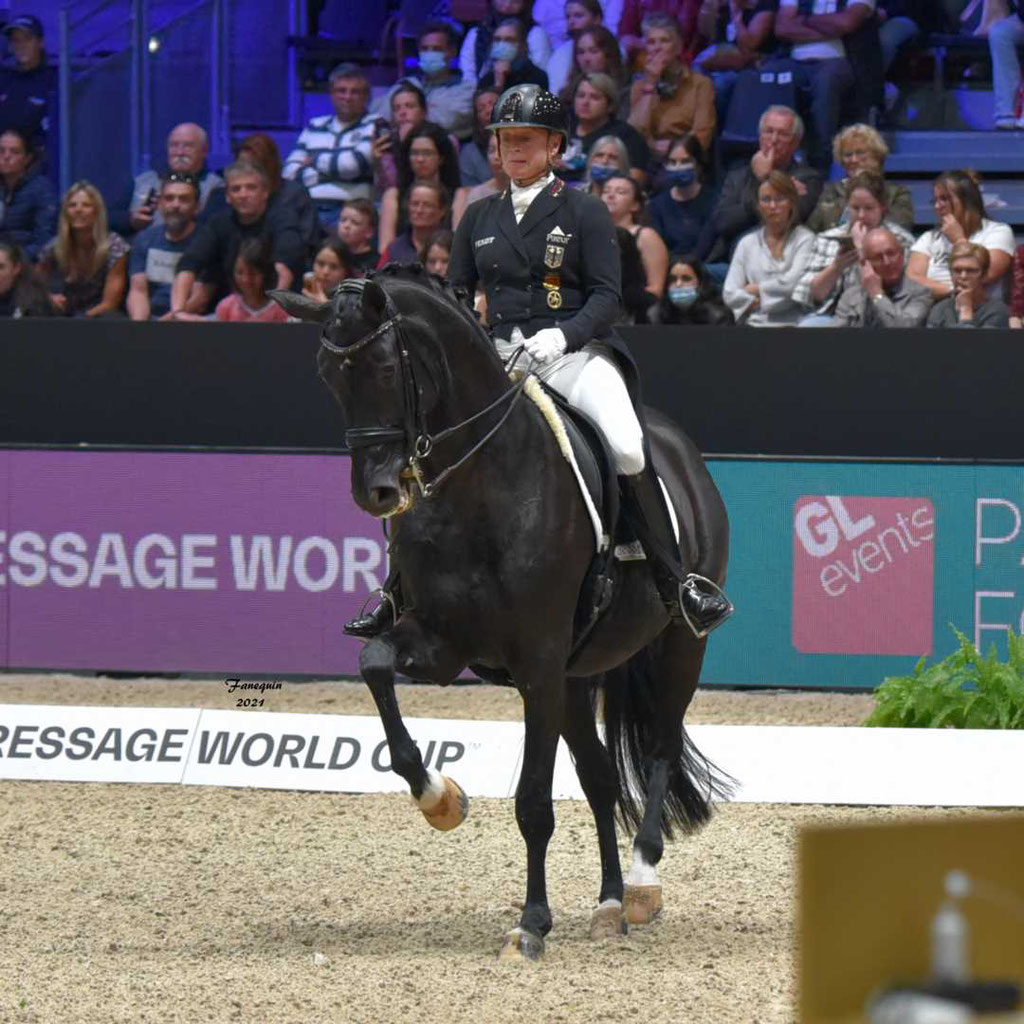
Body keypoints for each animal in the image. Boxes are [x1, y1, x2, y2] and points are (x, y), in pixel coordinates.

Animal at [274, 270, 737, 958]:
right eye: (327, 376)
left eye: (384, 367)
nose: (375, 493)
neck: (480, 489)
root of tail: (677, 448)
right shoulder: (443, 645)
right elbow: (375, 662)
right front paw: (441, 800)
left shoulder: (537, 663)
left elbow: (534, 802)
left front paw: (532, 923)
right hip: (577, 676)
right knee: (601, 776)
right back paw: (608, 904)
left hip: (680, 644)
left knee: (657, 749)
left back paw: (641, 883)